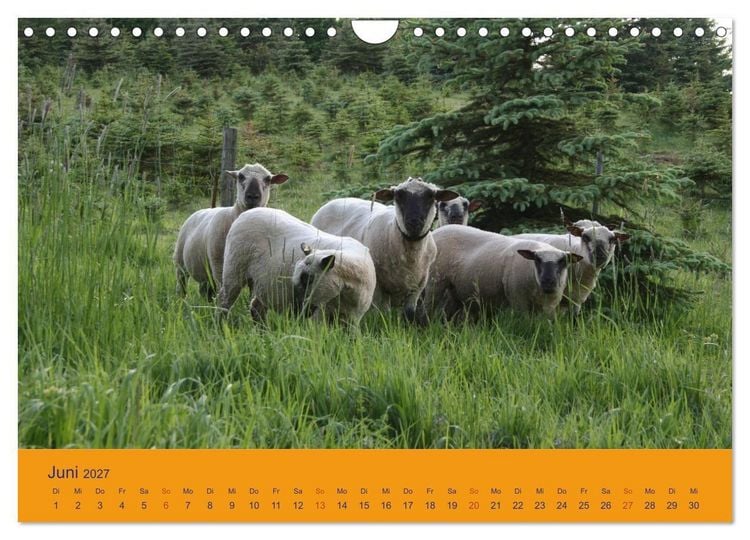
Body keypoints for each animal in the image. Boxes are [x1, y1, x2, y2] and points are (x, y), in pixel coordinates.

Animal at [173, 163, 288, 300]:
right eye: (240, 176)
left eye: (268, 179)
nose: (252, 196)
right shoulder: (219, 267)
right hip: (180, 262)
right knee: (182, 285)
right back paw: (181, 301)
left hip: (204, 271)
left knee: (204, 291)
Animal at [217, 208, 376, 327]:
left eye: (309, 279)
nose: (298, 310)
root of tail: (245, 213)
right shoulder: (319, 317)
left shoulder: (353, 319)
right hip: (234, 269)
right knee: (224, 300)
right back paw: (221, 326)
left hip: (262, 283)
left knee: (256, 307)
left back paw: (262, 332)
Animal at [310, 177, 459, 325]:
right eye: (398, 196)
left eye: (431, 197)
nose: (414, 223)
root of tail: (336, 200)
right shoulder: (380, 288)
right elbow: (384, 314)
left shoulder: (418, 286)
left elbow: (409, 314)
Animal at [424, 225, 583, 319]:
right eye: (537, 260)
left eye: (563, 261)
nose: (548, 282)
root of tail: (436, 231)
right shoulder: (518, 299)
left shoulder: (549, 305)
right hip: (434, 282)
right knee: (427, 307)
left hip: (454, 289)